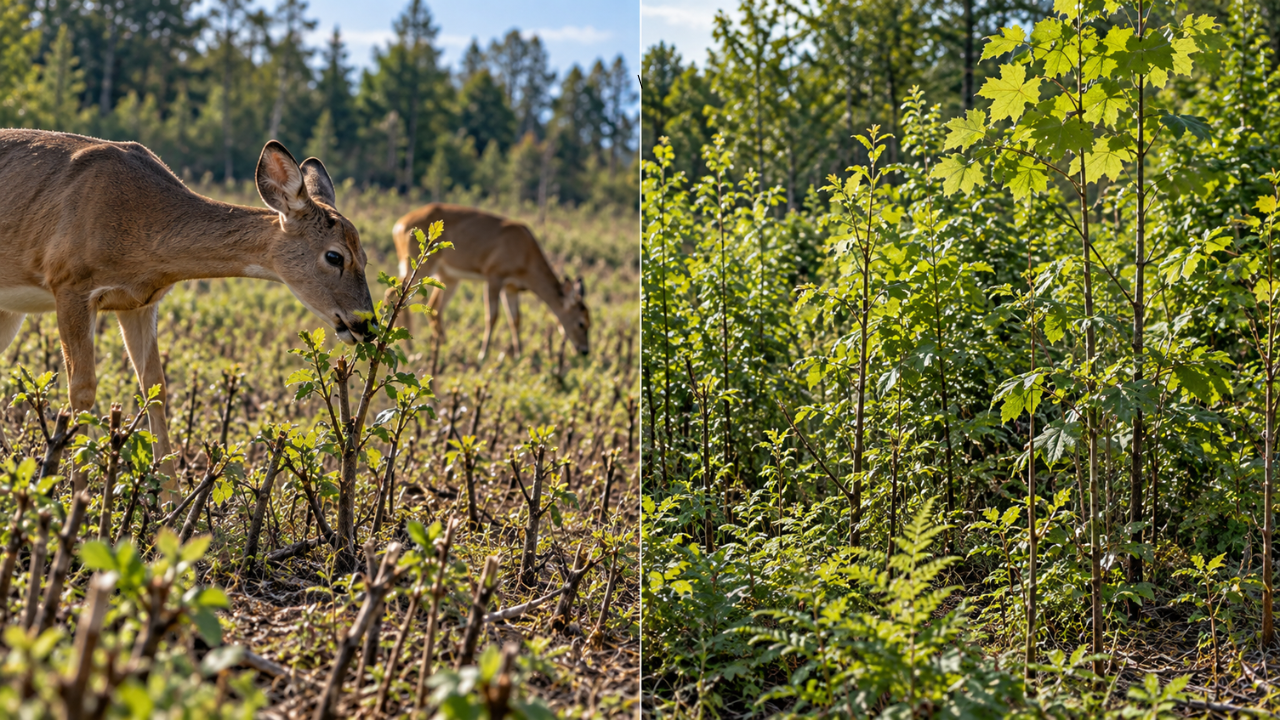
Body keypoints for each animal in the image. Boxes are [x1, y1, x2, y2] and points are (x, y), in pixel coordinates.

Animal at [0, 129, 375, 501]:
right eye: (335, 256)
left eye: (365, 257)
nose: (367, 324)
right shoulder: (69, 283)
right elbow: (81, 391)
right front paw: (79, 494)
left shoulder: (139, 302)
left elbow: (156, 387)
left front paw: (171, 499)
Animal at [390, 203, 590, 362]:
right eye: (582, 323)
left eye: (590, 321)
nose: (585, 351)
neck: (525, 257)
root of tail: (398, 226)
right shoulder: (494, 275)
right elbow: (492, 316)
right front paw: (483, 355)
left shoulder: (511, 287)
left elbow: (515, 319)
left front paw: (518, 355)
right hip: (417, 264)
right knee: (396, 292)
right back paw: (409, 348)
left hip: (448, 277)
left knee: (433, 307)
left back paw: (443, 346)